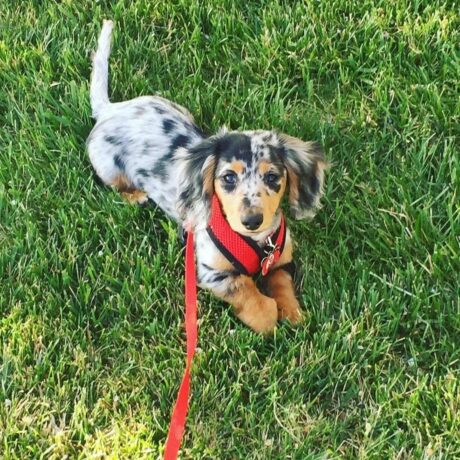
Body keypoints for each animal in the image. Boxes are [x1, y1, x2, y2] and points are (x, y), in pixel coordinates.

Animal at [87, 19, 328, 332]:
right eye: (228, 178)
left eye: (273, 177)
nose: (252, 220)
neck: (256, 242)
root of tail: (111, 110)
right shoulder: (211, 272)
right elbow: (248, 293)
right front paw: (269, 317)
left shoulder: (280, 260)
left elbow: (282, 284)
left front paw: (292, 312)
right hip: (106, 165)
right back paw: (135, 195)